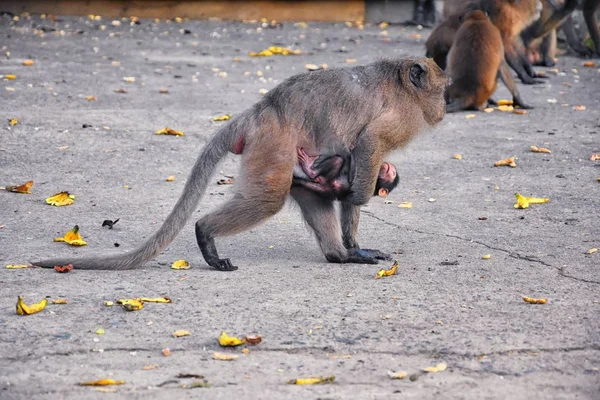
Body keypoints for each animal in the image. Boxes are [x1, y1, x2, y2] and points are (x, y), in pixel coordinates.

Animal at [30, 57, 448, 272]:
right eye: (443, 89)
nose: (447, 107)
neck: (402, 82)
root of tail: (259, 111)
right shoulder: (401, 118)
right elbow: (368, 144)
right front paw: (359, 197)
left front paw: (355, 245)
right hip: (274, 146)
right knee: (268, 199)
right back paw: (204, 233)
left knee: (309, 199)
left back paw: (339, 255)